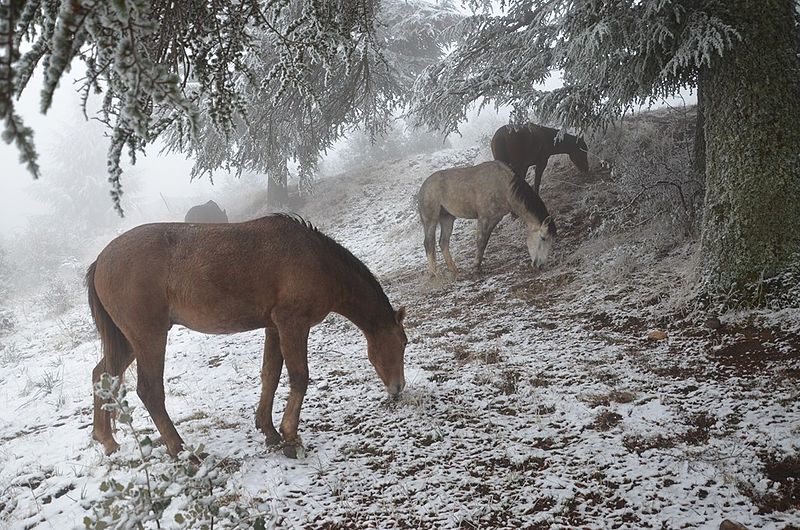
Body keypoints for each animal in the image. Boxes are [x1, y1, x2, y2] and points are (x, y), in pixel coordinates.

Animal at [87, 212, 406, 456]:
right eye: (403, 343)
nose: (398, 388)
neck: (315, 259)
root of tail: (100, 260)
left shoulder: (274, 328)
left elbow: (270, 376)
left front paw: (270, 431)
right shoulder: (292, 324)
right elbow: (299, 377)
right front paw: (291, 437)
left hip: (129, 342)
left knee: (101, 374)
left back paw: (107, 441)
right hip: (149, 338)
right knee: (150, 391)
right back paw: (180, 450)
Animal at [418, 160, 556, 276]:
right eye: (543, 238)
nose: (540, 265)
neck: (503, 185)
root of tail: (423, 187)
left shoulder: (494, 219)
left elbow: (484, 242)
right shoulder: (484, 218)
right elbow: (481, 242)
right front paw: (476, 268)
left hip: (447, 218)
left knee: (443, 243)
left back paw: (454, 270)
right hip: (430, 220)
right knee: (429, 243)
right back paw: (434, 274)